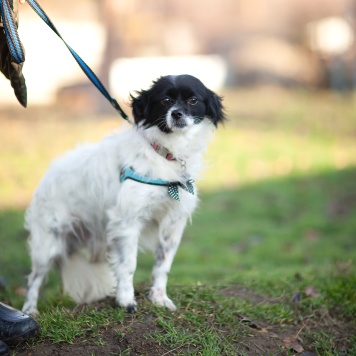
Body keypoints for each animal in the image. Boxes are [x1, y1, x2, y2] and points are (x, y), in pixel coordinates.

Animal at [21, 74, 225, 314]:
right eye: (165, 100)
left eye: (193, 100)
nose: (176, 114)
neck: (166, 154)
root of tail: (48, 174)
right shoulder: (128, 222)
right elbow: (128, 264)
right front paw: (126, 300)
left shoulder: (173, 224)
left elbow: (162, 265)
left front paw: (159, 298)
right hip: (47, 244)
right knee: (34, 278)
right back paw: (29, 310)